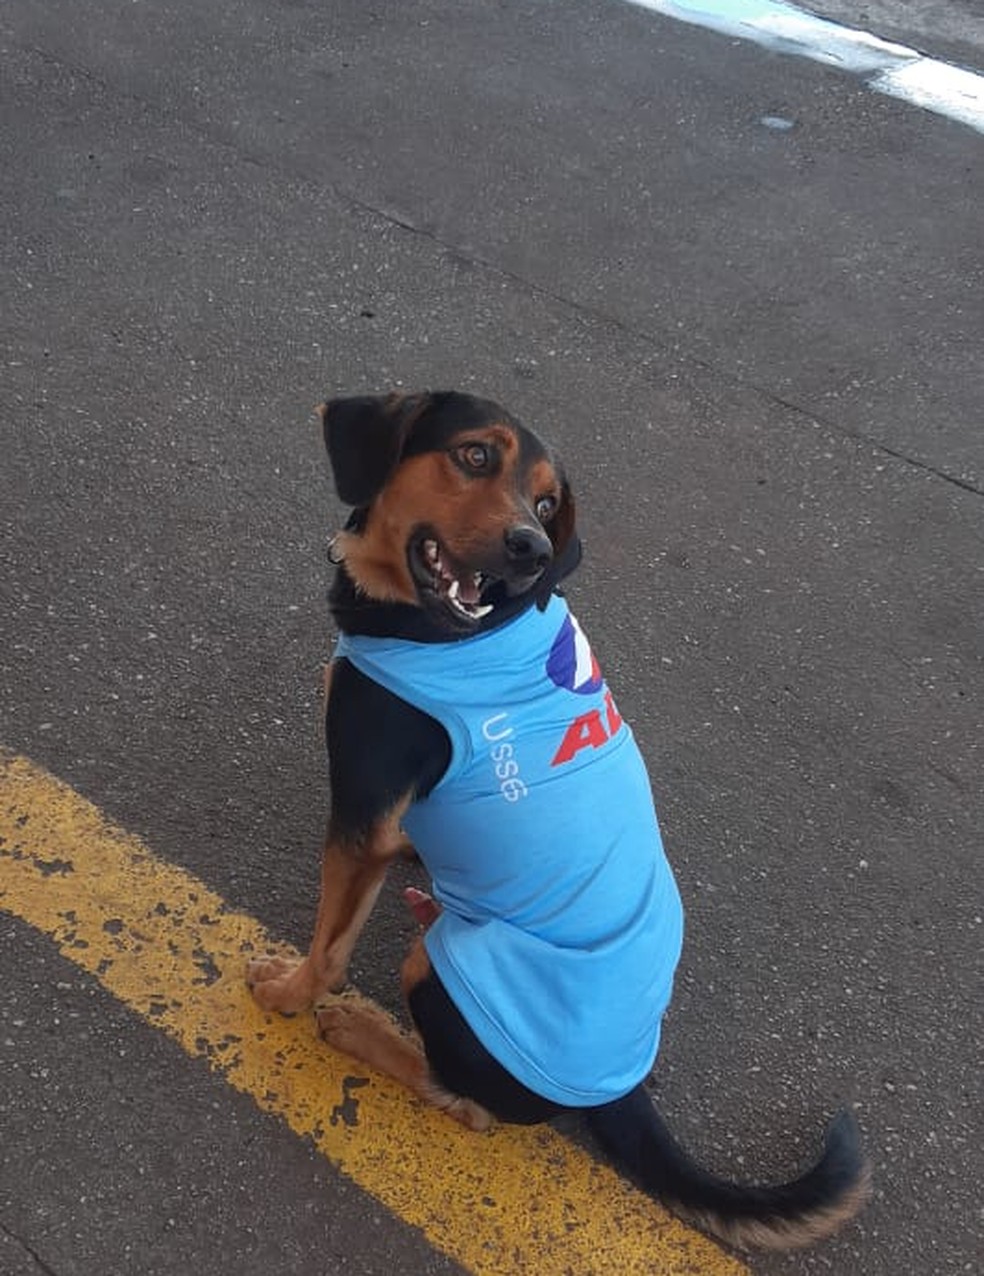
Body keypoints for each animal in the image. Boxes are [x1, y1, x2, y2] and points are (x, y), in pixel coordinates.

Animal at [246, 387, 867, 1245]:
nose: (531, 549)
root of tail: (619, 1084)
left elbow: (329, 947)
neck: (455, 626)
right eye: (475, 455)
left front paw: (288, 994)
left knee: (465, 1103)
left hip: (443, 970)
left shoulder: (363, 817)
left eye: (547, 504)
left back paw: (364, 1032)